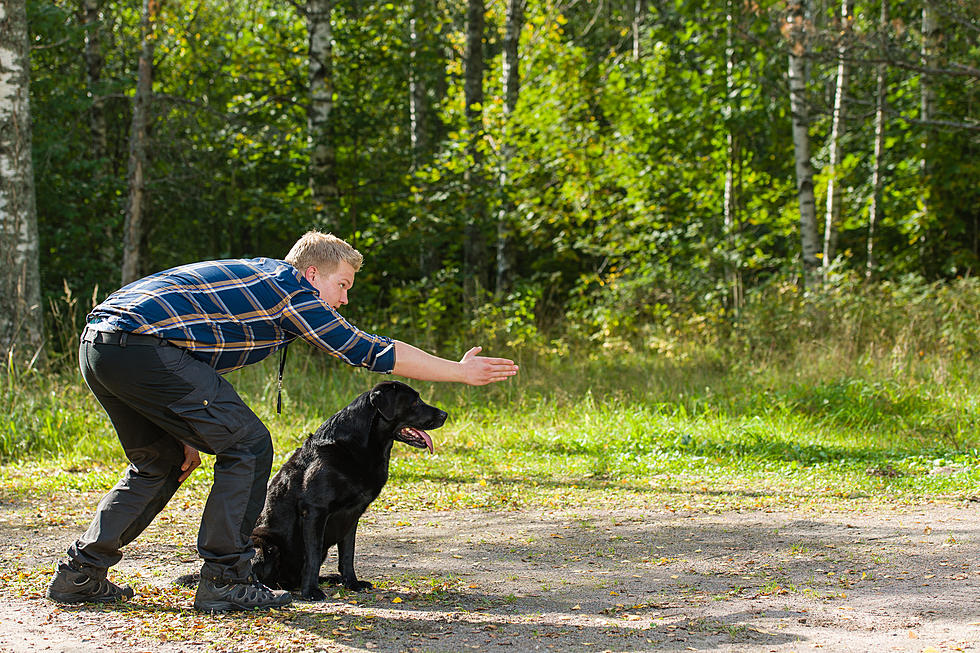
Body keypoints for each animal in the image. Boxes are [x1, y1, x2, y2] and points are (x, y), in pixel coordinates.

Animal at [249, 380, 448, 600]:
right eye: (415, 402)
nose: (445, 414)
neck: (358, 447)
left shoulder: (351, 515)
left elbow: (347, 554)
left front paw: (352, 583)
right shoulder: (315, 511)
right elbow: (313, 555)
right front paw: (311, 591)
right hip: (262, 545)